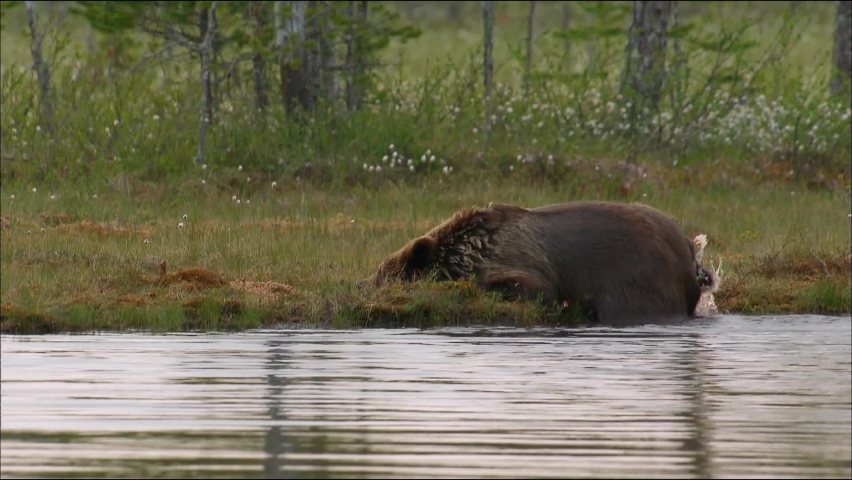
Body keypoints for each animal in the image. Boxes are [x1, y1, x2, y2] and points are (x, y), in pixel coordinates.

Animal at [359, 200, 720, 326]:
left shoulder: (520, 263)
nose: (362, 283)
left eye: (382, 275)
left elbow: (531, 288)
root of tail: (689, 250)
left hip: (639, 278)